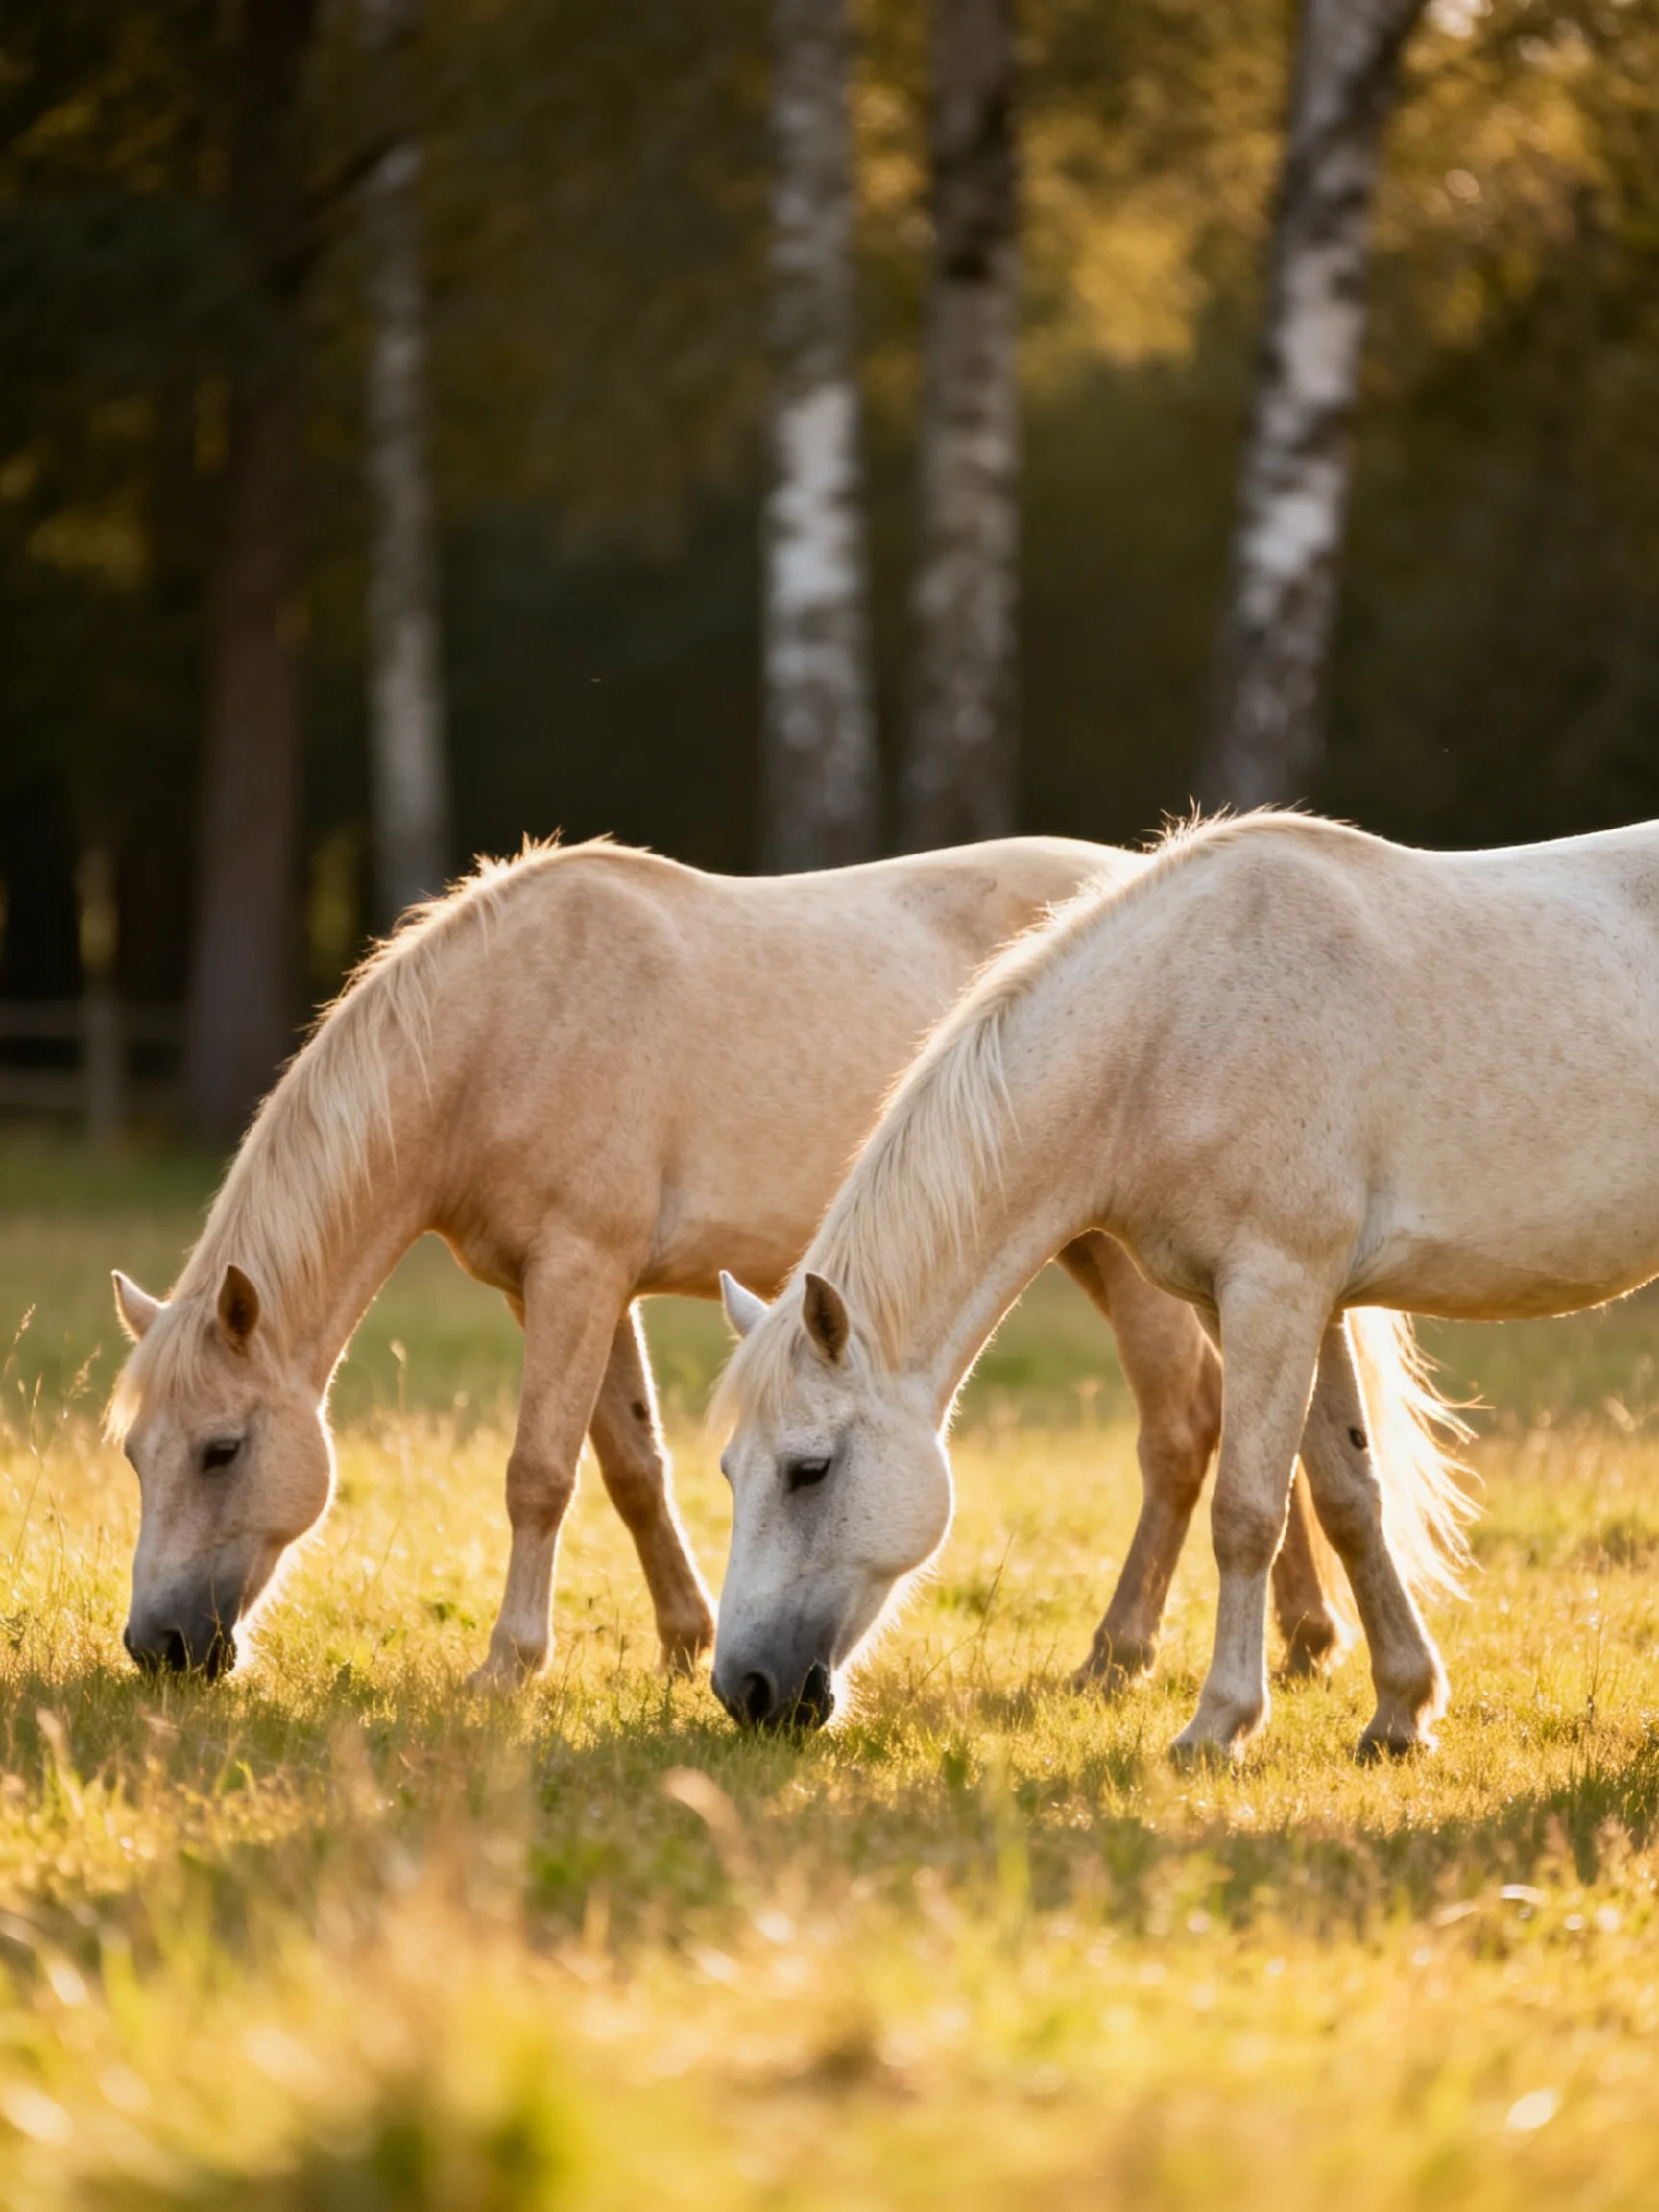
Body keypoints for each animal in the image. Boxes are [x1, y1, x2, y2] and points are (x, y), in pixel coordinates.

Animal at [105, 834, 1347, 1687]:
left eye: (221, 1451)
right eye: (132, 1456)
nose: (157, 1645)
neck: (502, 1024)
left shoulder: (578, 1271)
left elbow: (538, 1472)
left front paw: (510, 1663)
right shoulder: (563, 1288)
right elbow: (629, 1468)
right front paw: (681, 1637)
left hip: (1125, 1267)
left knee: (1186, 1428)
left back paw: (1120, 1654)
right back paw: (1309, 1637)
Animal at [710, 809, 1659, 1759]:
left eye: (809, 1471)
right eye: (728, 1470)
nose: (744, 1689)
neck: (1167, 1032)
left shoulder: (1274, 1290)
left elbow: (1246, 1514)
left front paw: (1218, 1726)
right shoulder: (1284, 1305)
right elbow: (1349, 1500)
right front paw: (1400, 1710)